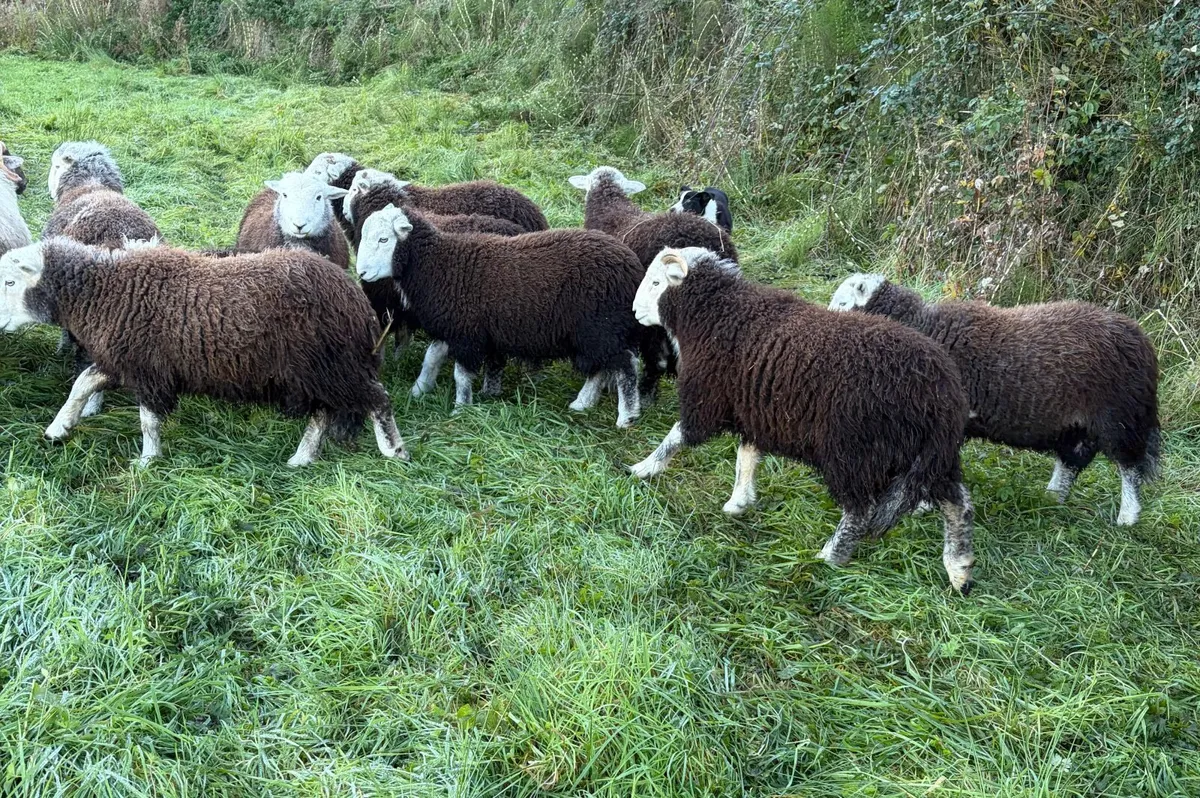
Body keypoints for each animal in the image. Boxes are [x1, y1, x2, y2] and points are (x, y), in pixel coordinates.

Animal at [0, 238, 408, 467]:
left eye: (10, 281)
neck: (105, 290)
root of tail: (357, 300)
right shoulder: (124, 359)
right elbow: (82, 384)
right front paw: (58, 428)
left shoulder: (149, 369)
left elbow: (148, 419)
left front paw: (147, 461)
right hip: (314, 374)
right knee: (322, 414)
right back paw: (301, 459)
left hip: (334, 366)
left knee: (377, 398)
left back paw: (394, 450)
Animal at [355, 204, 647, 427]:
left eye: (384, 239)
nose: (361, 274)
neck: (438, 265)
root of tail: (632, 267)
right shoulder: (456, 326)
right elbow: (432, 357)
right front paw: (420, 390)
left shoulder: (466, 334)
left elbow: (460, 376)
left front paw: (461, 408)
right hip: (594, 334)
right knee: (600, 367)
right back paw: (583, 403)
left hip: (600, 328)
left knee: (625, 366)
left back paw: (627, 416)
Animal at [631, 247, 976, 594]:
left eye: (657, 283)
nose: (633, 312)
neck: (717, 314)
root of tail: (942, 390)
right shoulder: (755, 410)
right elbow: (746, 456)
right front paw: (739, 501)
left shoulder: (706, 401)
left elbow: (677, 436)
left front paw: (643, 468)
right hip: (925, 454)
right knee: (957, 501)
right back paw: (959, 568)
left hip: (854, 452)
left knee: (861, 510)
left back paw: (831, 557)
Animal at [829, 274, 1160, 526]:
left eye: (844, 303)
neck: (924, 326)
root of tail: (1141, 339)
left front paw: (920, 507)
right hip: (1078, 423)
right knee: (1072, 460)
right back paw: (1051, 498)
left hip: (1121, 417)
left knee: (1130, 468)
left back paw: (1127, 518)